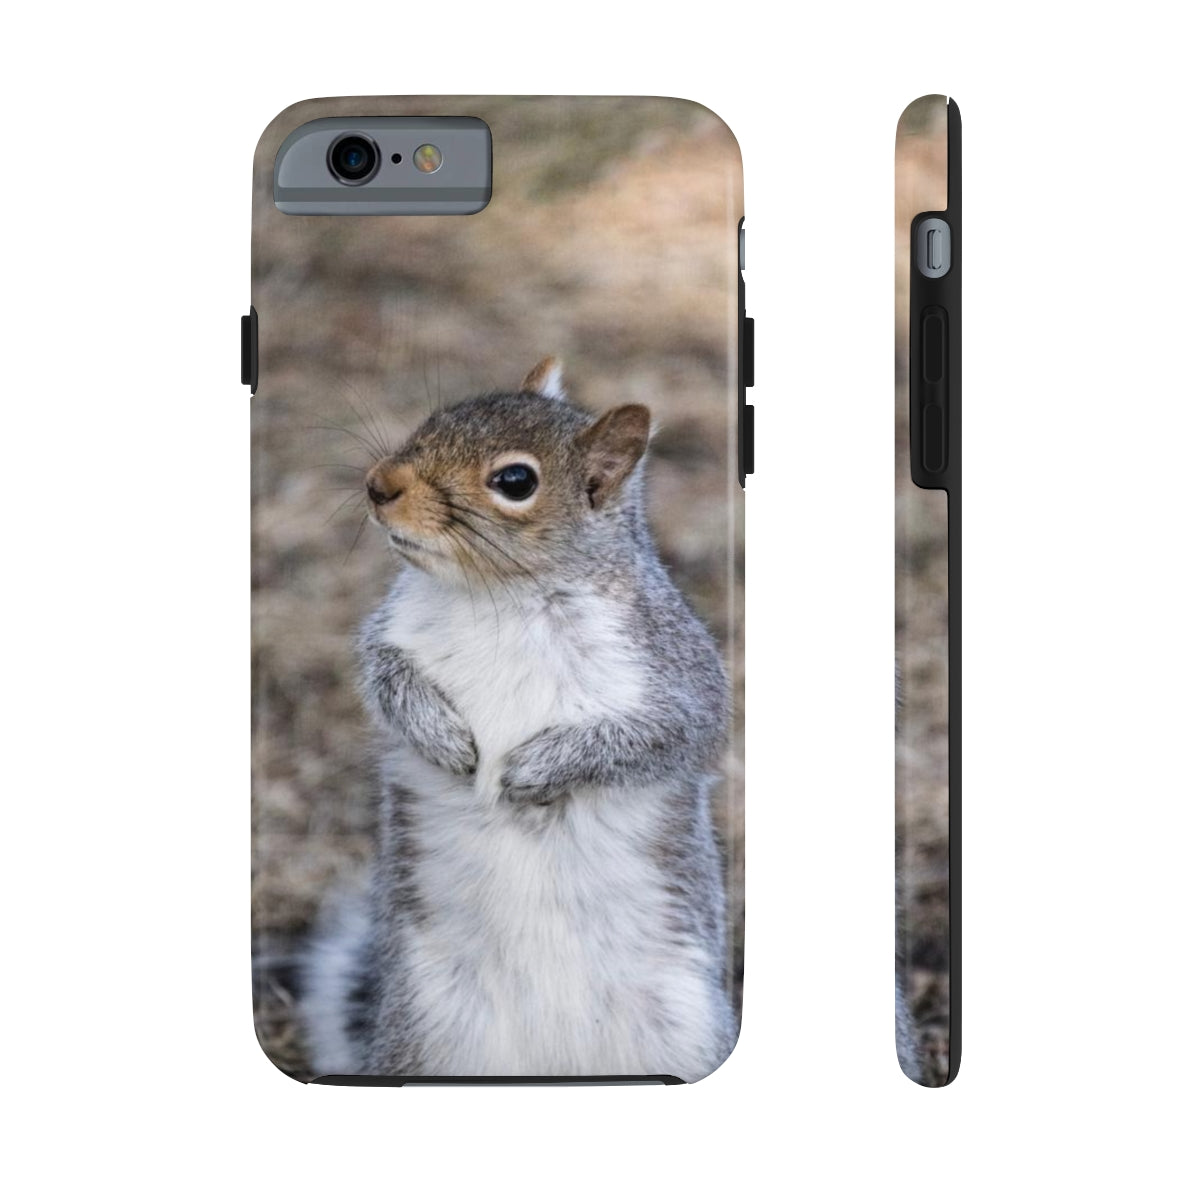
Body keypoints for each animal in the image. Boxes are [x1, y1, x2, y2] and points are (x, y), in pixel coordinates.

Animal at [300, 357, 737, 1081]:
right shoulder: (390, 635)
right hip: (425, 1033)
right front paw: (444, 738)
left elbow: (660, 736)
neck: (500, 594)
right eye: (434, 419)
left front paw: (535, 770)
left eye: (515, 482)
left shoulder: (675, 673)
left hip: (689, 1034)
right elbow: (385, 679)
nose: (379, 485)